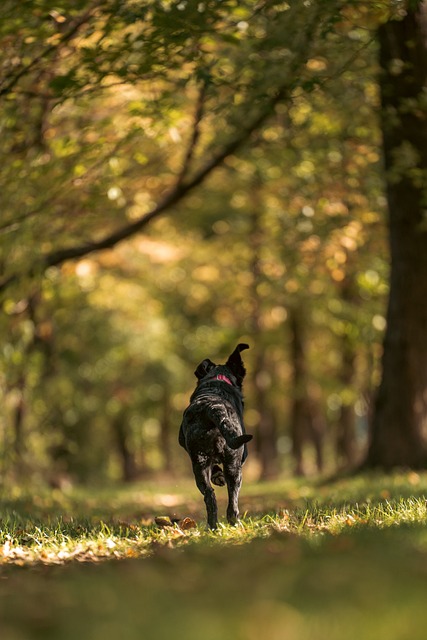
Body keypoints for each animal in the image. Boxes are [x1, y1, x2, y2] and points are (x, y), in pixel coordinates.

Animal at [179, 344, 252, 528]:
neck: (217, 381)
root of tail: (213, 407)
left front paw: (218, 476)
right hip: (234, 462)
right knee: (232, 502)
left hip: (200, 461)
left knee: (210, 496)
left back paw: (213, 526)